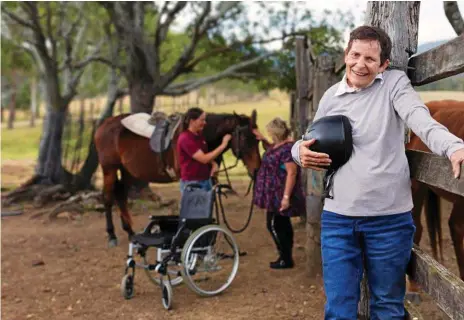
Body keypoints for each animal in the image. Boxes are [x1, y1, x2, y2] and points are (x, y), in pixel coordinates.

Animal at [94, 110, 260, 248]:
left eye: (257, 139)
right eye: (245, 137)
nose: (256, 169)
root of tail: (103, 125)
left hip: (128, 171)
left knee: (121, 195)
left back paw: (130, 232)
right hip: (109, 169)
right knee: (108, 198)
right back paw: (112, 235)